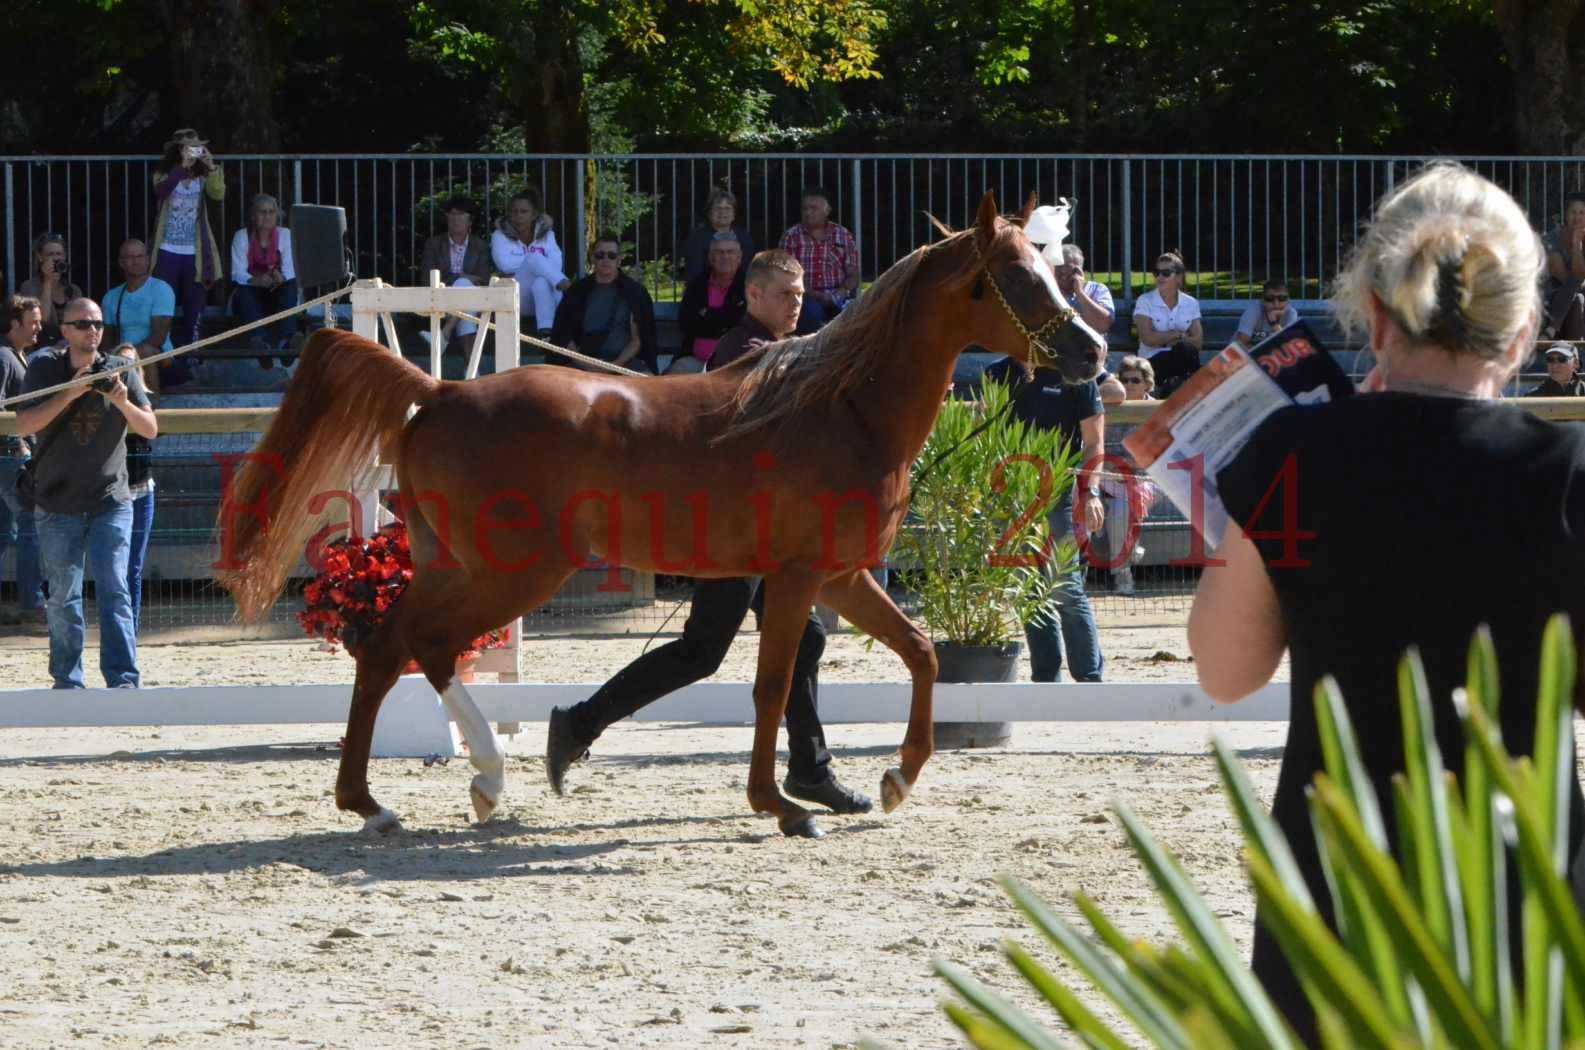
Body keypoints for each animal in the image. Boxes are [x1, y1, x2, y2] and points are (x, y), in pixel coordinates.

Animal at [220, 193, 1103, 843]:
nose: (1091, 353)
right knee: (422, 644)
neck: (840, 408)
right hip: (512, 572)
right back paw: (481, 780)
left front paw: (889, 780)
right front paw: (783, 808)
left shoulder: (840, 577)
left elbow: (919, 652)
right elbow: (773, 685)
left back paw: (390, 801)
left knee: (389, 647)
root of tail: (437, 391)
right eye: (1017, 276)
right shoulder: (796, 579)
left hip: (454, 564)